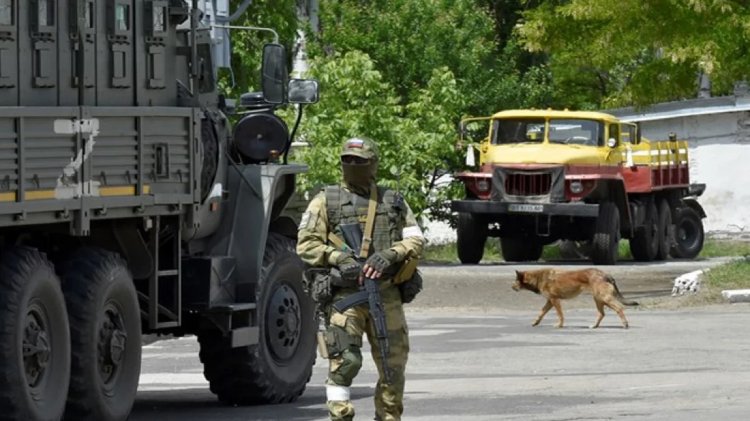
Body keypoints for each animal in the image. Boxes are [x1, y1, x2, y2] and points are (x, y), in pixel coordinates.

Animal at [512, 270, 640, 328]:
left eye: (516, 281)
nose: (511, 287)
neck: (538, 277)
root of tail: (605, 274)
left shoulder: (555, 300)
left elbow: (560, 315)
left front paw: (560, 325)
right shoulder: (550, 301)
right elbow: (541, 313)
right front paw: (536, 322)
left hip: (605, 298)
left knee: (619, 308)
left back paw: (625, 324)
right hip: (599, 299)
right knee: (602, 313)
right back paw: (595, 325)